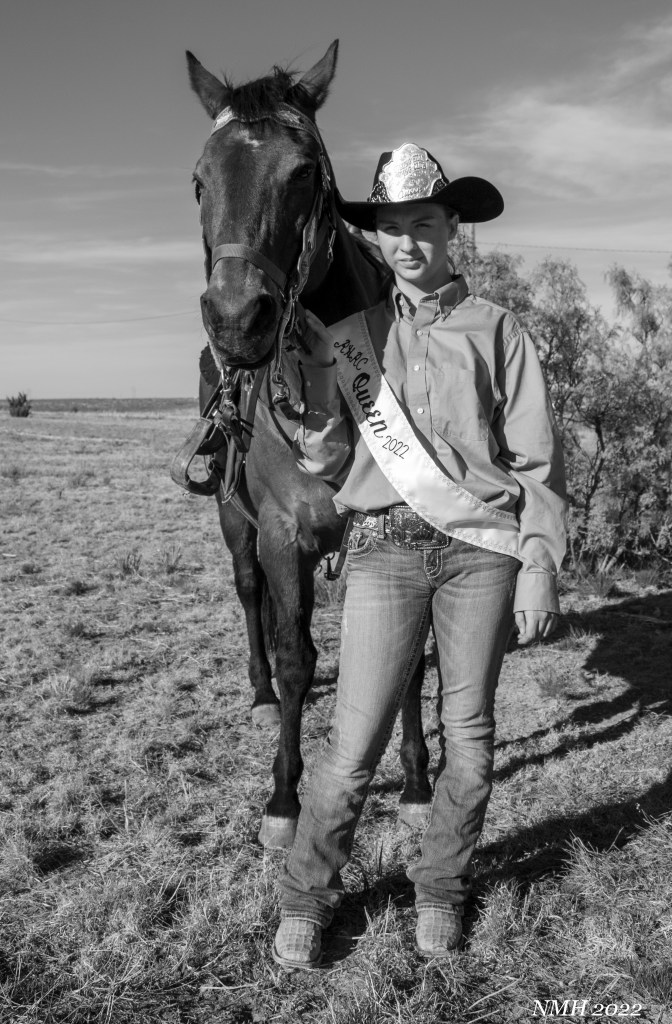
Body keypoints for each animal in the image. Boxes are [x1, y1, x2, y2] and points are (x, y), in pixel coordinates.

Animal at [183, 41, 431, 848]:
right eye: (200, 179)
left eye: (301, 173)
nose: (238, 320)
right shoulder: (282, 533)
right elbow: (297, 657)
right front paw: (284, 799)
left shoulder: (397, 527)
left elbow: (408, 659)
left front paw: (417, 783)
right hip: (236, 524)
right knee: (251, 595)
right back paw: (260, 690)